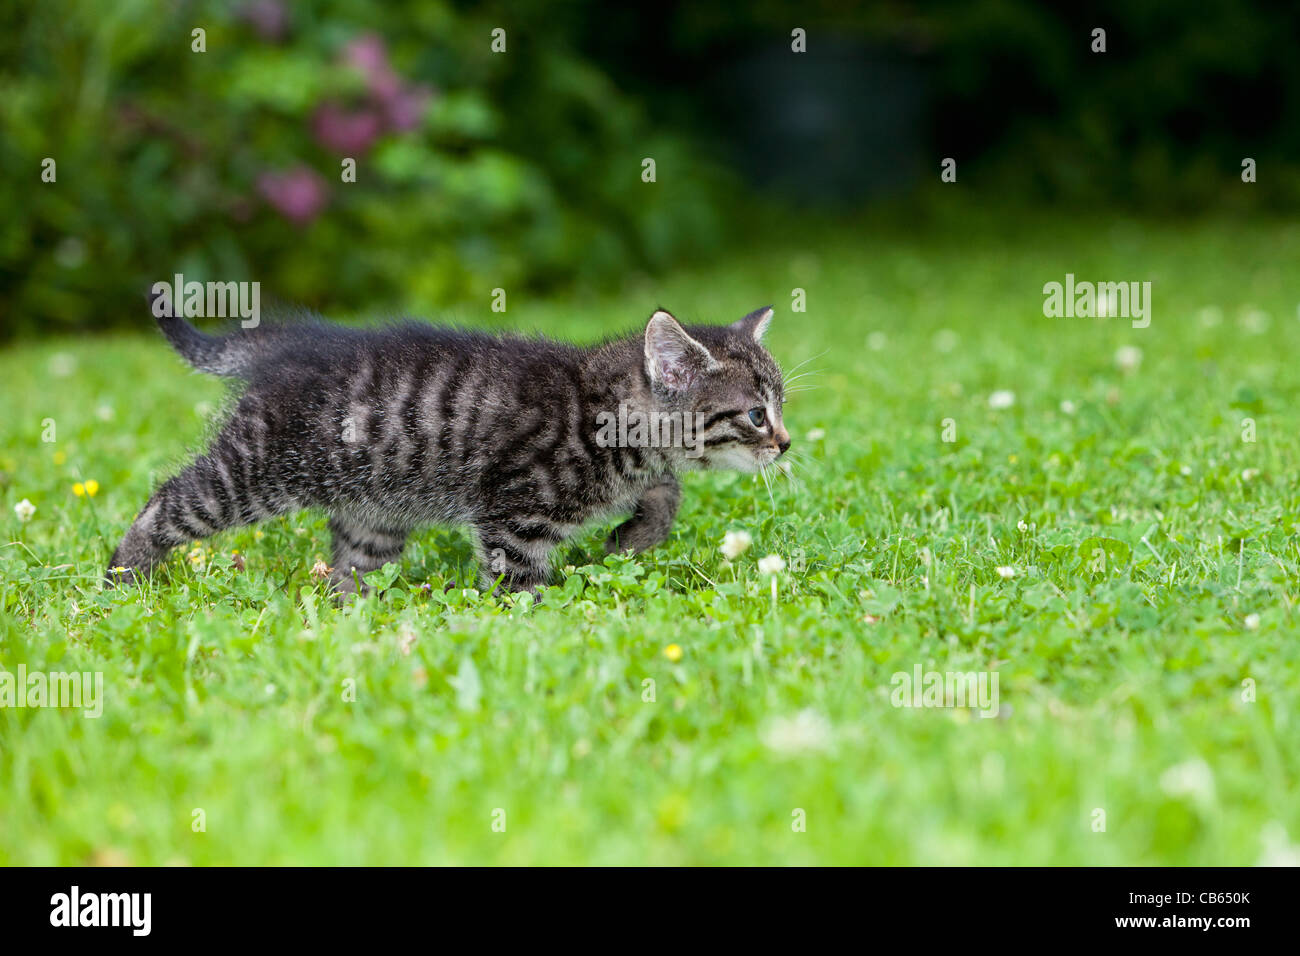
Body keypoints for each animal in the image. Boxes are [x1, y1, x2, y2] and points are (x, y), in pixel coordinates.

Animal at [104, 303, 790, 595]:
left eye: (781, 406)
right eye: (757, 415)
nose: (785, 443)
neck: (606, 411)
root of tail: (297, 344)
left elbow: (667, 489)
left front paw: (636, 535)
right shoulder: (515, 511)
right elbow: (516, 574)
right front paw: (528, 619)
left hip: (373, 508)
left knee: (353, 564)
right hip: (258, 467)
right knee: (168, 501)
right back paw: (124, 576)